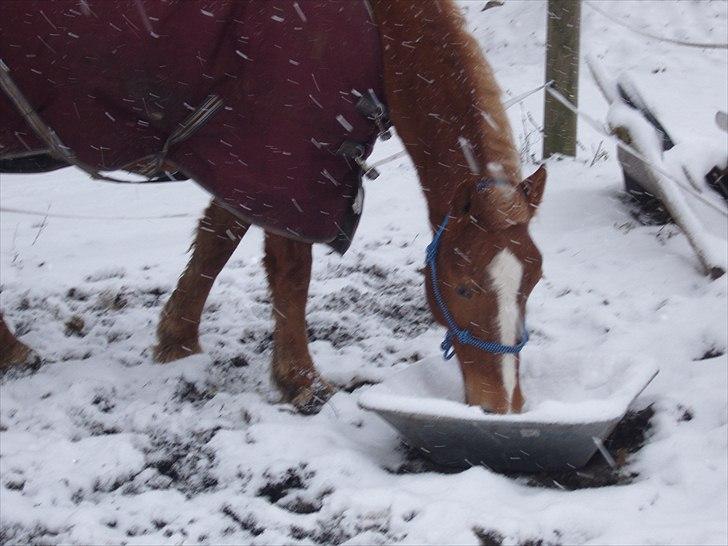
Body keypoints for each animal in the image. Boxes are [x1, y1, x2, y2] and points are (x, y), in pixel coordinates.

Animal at [0, 1, 544, 412]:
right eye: (464, 286)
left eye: (533, 281)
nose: (503, 405)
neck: (378, 30)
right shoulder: (288, 157)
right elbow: (291, 272)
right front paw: (302, 381)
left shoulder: (245, 160)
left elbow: (216, 241)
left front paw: (178, 341)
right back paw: (13, 353)